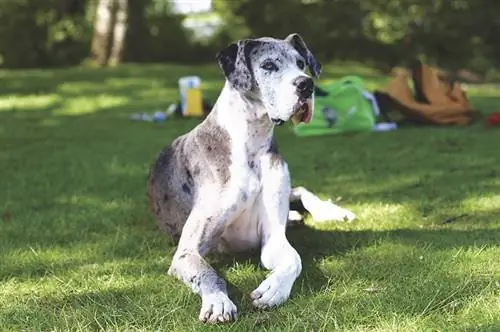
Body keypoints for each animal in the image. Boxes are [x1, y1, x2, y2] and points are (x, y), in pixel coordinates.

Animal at [148, 33, 356, 322]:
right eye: (268, 65)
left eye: (301, 63)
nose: (306, 84)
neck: (251, 143)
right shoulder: (187, 251)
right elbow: (208, 274)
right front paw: (218, 301)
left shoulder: (273, 239)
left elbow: (294, 259)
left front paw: (274, 290)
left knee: (301, 190)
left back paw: (331, 211)